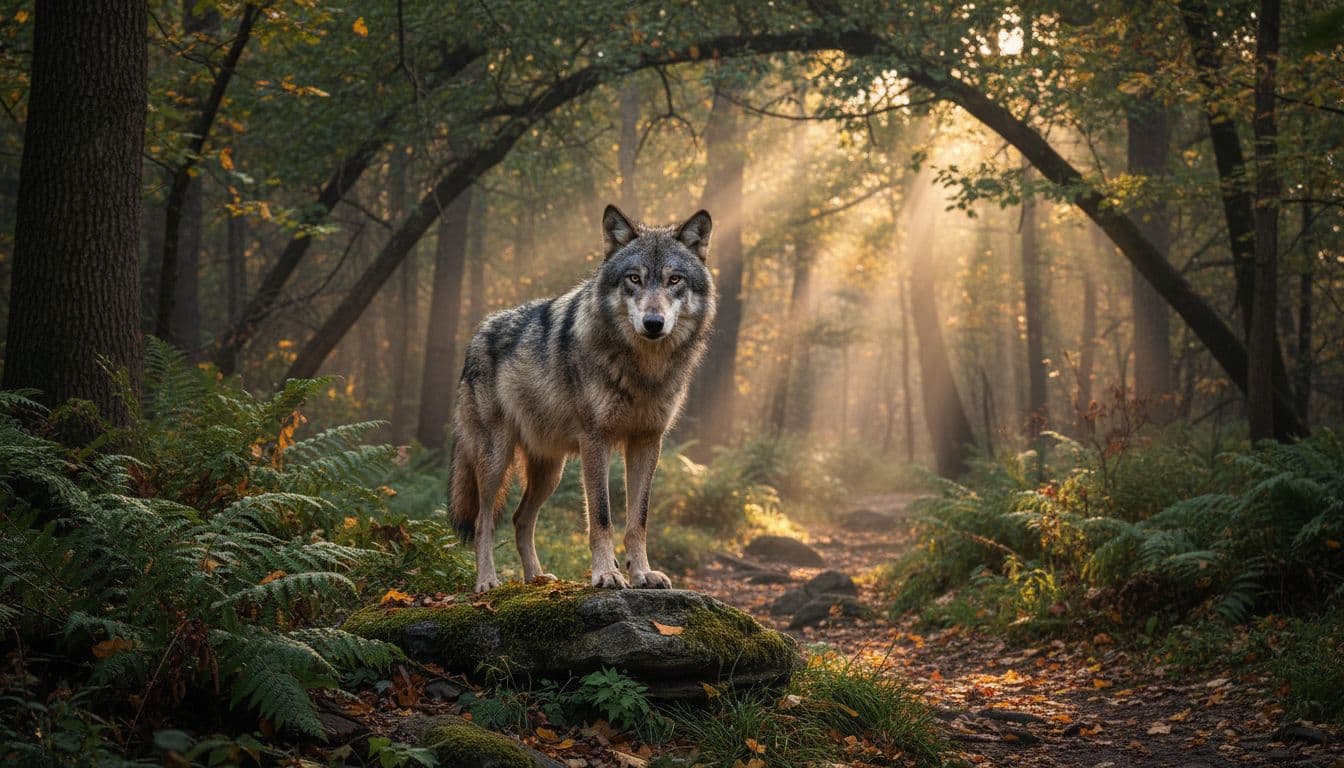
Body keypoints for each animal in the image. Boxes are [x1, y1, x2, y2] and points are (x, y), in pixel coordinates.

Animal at [449, 205, 716, 592]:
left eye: (674, 280)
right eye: (634, 279)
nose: (653, 322)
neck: (644, 370)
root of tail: (476, 336)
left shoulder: (647, 442)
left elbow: (638, 520)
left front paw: (642, 574)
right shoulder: (596, 440)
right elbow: (602, 517)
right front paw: (606, 574)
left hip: (551, 472)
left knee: (520, 519)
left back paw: (537, 578)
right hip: (496, 460)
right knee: (485, 521)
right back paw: (487, 582)